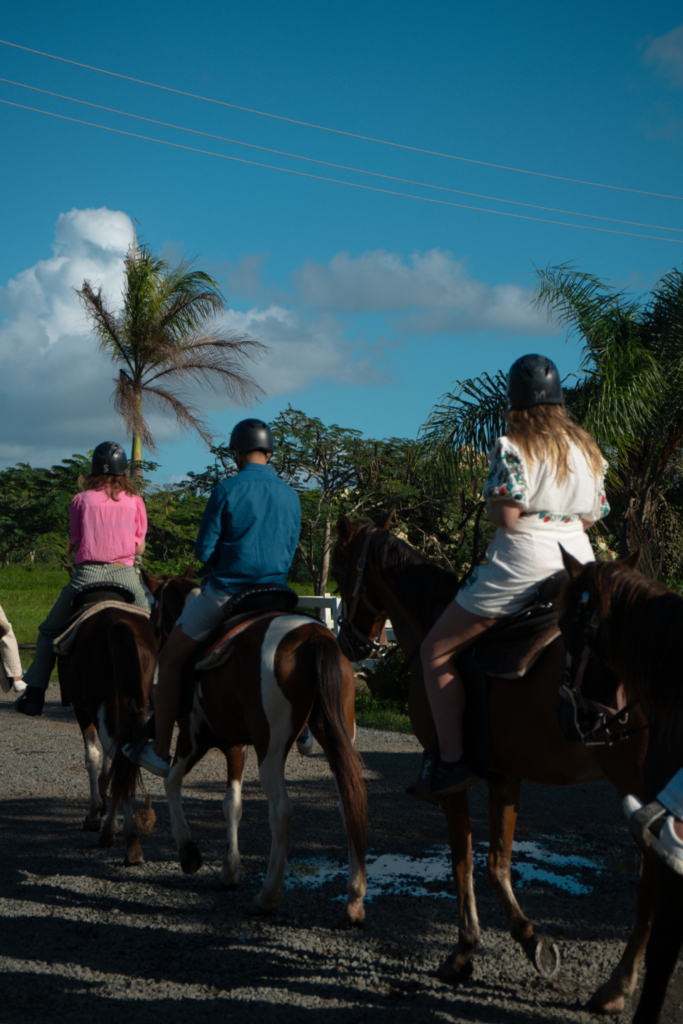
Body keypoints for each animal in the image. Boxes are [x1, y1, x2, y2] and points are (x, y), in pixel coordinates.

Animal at [56, 600, 158, 865]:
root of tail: (117, 624)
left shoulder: (83, 711)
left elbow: (92, 758)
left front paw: (94, 813)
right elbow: (109, 764)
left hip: (99, 705)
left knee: (119, 754)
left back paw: (120, 834)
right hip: (135, 705)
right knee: (126, 756)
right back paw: (128, 837)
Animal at [141, 570, 367, 927]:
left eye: (153, 616)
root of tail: (313, 636)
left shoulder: (193, 737)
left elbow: (172, 781)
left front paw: (189, 851)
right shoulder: (235, 745)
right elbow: (231, 804)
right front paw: (228, 871)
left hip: (271, 749)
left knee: (281, 811)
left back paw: (267, 895)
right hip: (336, 734)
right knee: (350, 801)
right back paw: (354, 899)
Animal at [330, 513, 657, 1015]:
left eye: (343, 567)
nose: (348, 641)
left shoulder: (453, 778)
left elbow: (462, 861)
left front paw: (463, 951)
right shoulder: (505, 773)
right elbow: (497, 863)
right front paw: (531, 940)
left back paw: (617, 987)